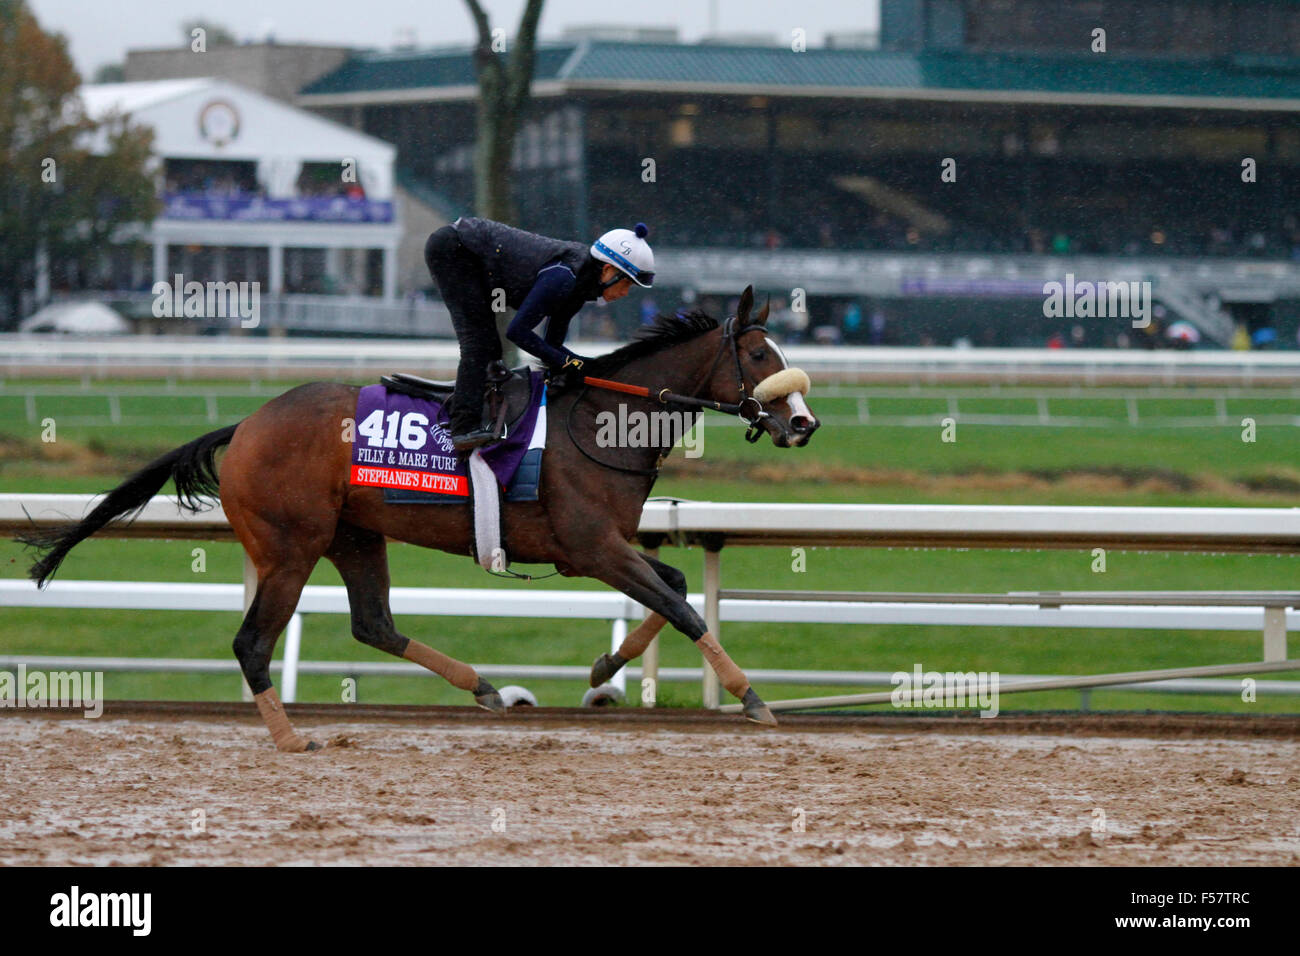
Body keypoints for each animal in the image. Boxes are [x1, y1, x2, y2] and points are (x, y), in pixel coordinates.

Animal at [20, 287, 816, 749]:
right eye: (757, 353)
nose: (803, 423)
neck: (601, 420)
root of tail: (244, 425)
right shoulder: (592, 546)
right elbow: (684, 608)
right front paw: (753, 699)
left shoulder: (601, 546)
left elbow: (675, 584)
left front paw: (605, 666)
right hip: (289, 547)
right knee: (252, 643)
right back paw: (290, 738)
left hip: (354, 536)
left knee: (373, 623)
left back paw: (485, 689)